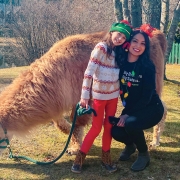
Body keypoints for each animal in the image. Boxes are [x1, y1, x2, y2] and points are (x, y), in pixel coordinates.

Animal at [0, 29, 167, 156]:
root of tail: (156, 35)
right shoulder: (58, 99)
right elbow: (60, 123)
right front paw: (71, 136)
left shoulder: (81, 95)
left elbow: (78, 121)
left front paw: (74, 147)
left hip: (153, 82)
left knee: (160, 107)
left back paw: (155, 141)